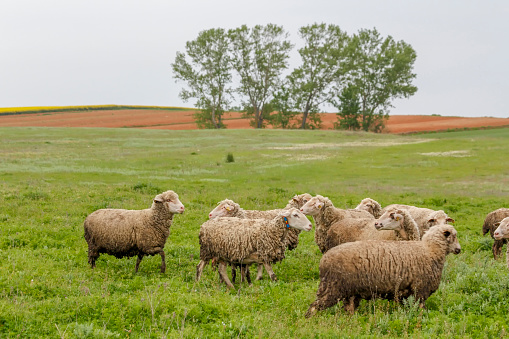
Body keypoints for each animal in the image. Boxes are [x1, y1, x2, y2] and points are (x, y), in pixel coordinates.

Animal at [304, 224, 462, 318]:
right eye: (453, 236)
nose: (459, 250)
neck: (430, 250)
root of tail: (323, 261)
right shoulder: (420, 289)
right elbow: (421, 309)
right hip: (333, 287)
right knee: (315, 306)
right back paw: (309, 320)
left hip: (350, 291)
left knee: (348, 308)